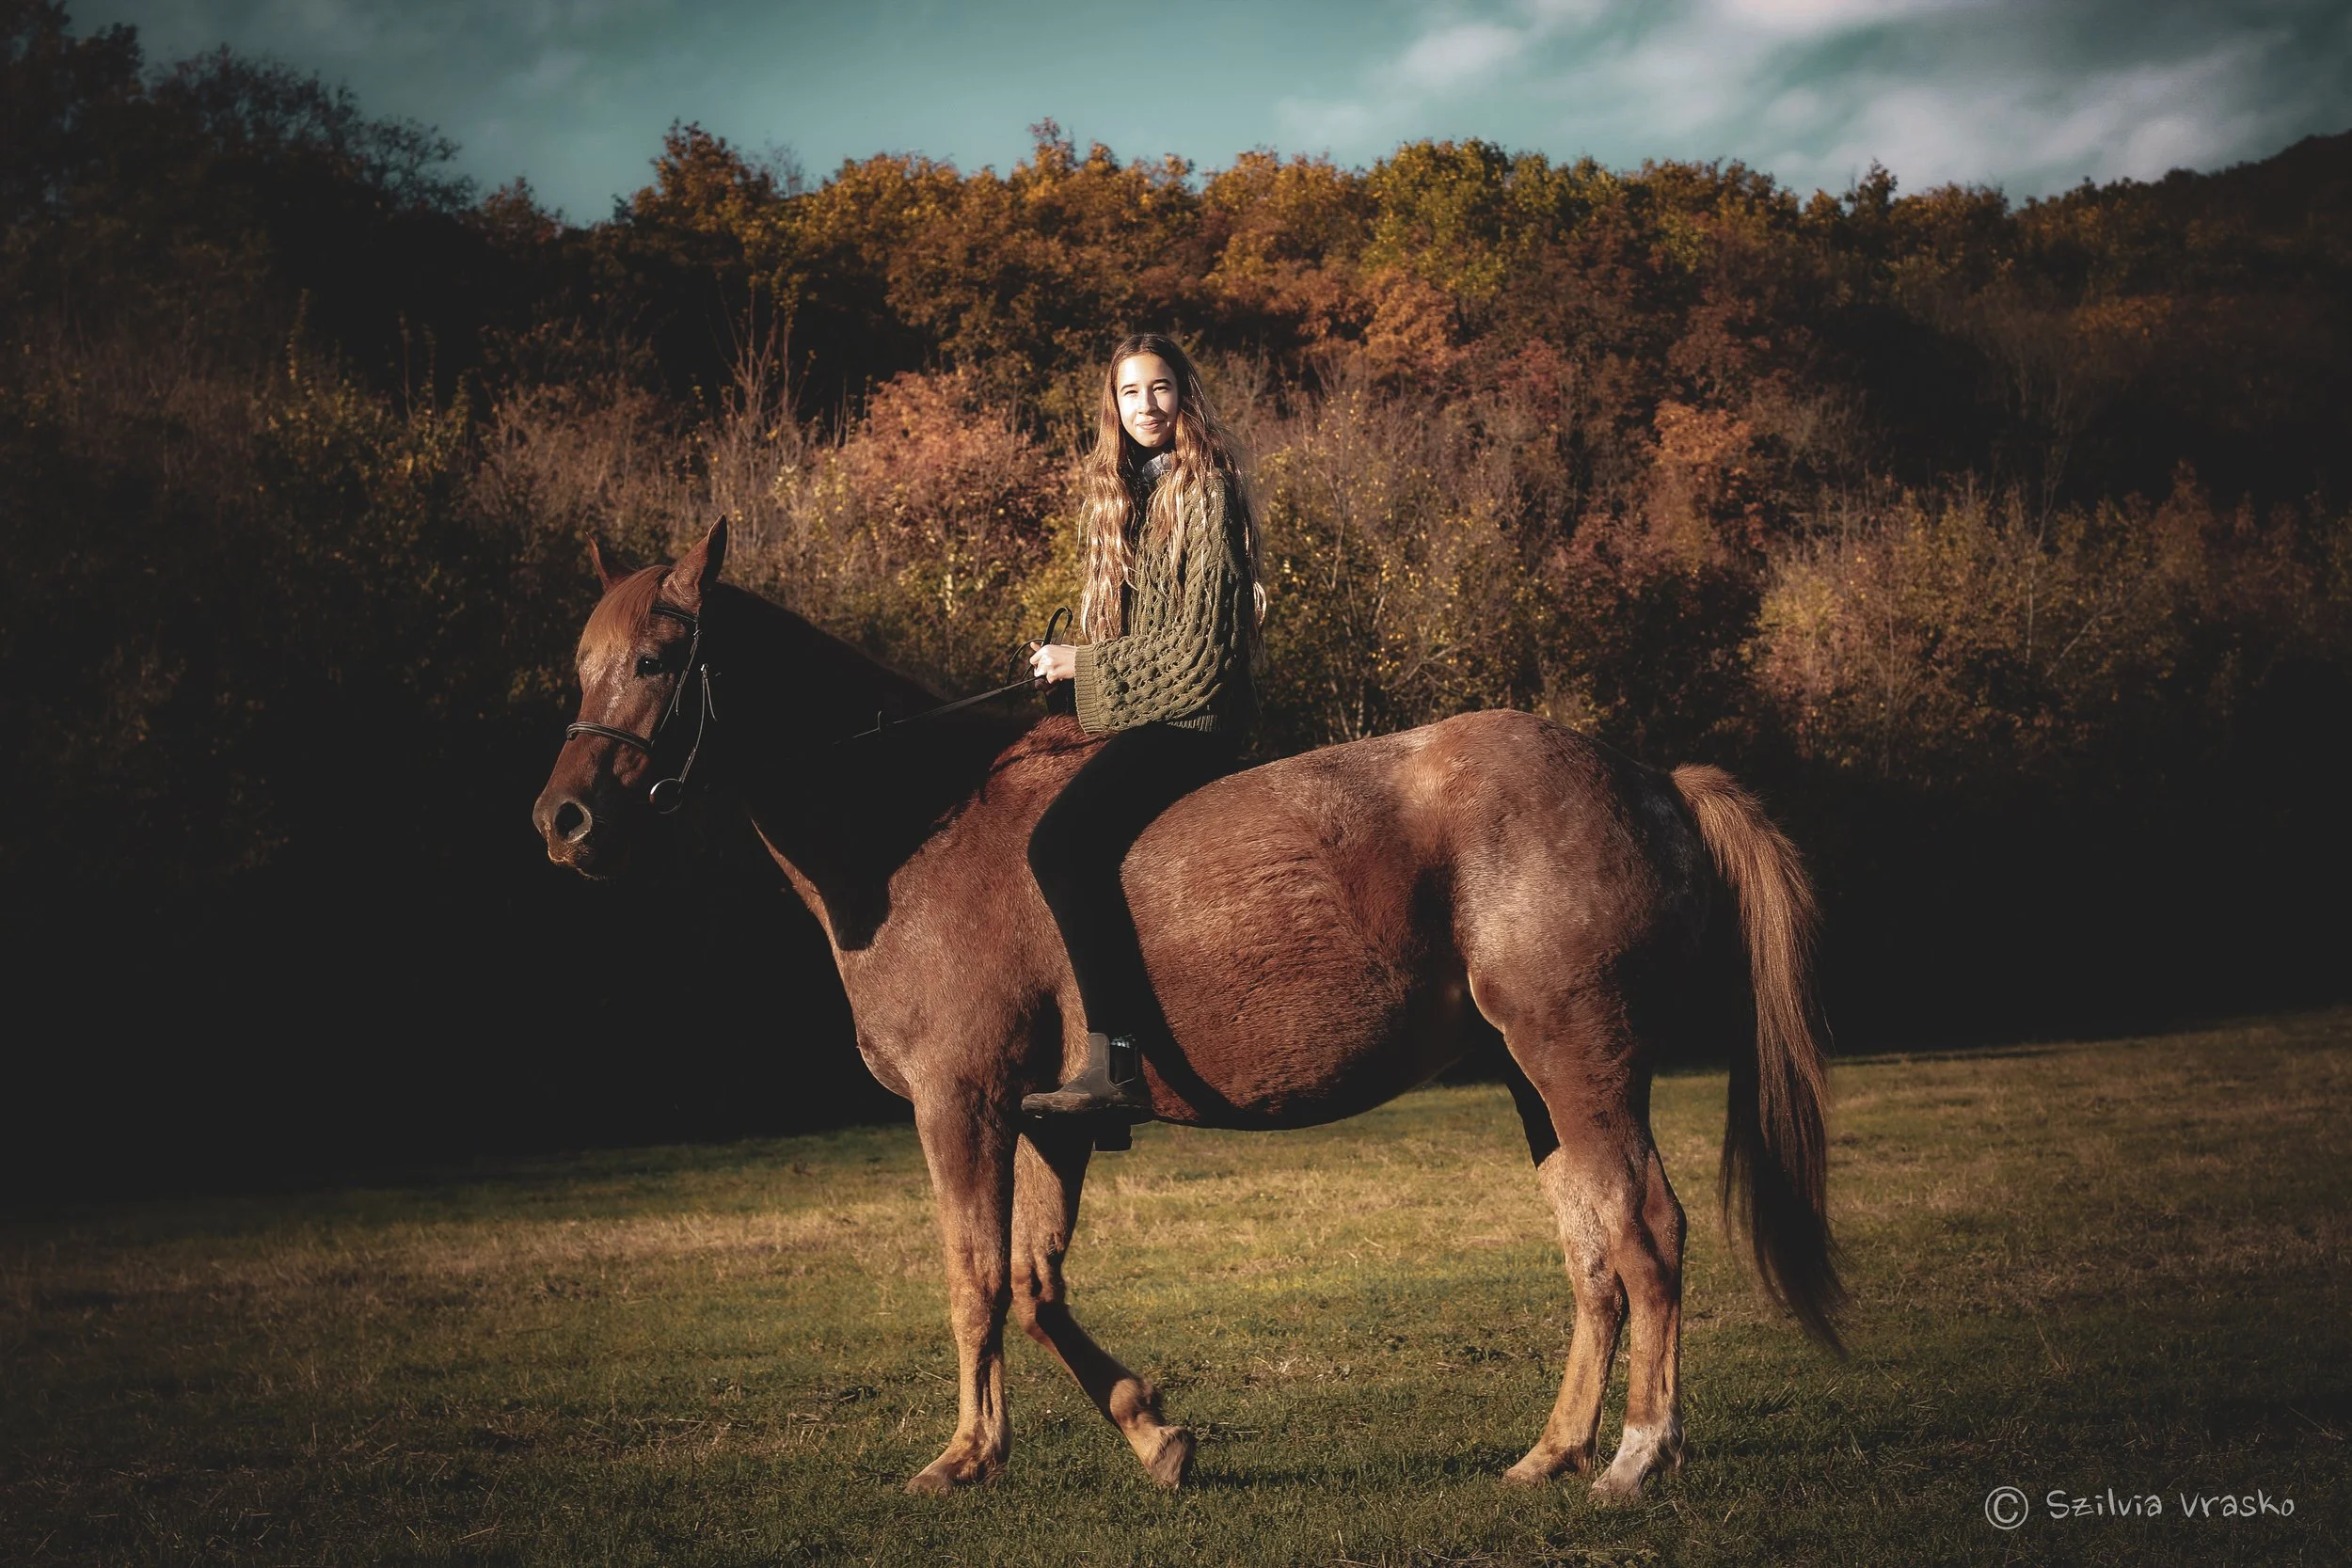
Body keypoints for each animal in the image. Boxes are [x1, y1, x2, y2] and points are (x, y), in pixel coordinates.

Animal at [531, 521, 1842, 1499]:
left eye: (656, 661)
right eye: (582, 665)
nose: (563, 822)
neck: (919, 830)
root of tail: (1647, 776)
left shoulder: (963, 1103)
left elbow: (974, 1275)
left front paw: (963, 1456)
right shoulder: (1045, 1117)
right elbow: (1038, 1285)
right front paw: (1155, 1433)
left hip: (1582, 1058)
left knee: (1649, 1232)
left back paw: (1637, 1456)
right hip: (1534, 1074)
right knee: (1593, 1255)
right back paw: (1555, 1450)